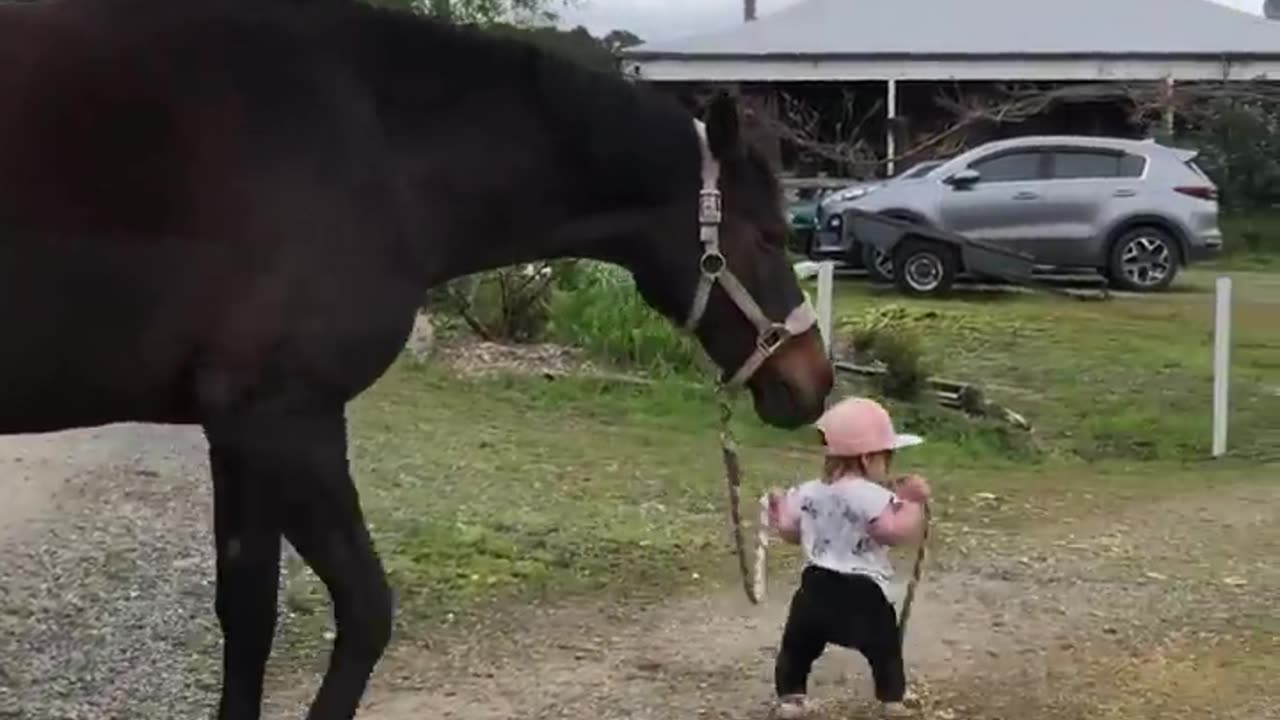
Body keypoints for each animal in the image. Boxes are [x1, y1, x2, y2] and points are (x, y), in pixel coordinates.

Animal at [0, 0, 834, 712]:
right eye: (770, 236)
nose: (813, 381)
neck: (372, 146)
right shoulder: (289, 420)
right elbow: (366, 610)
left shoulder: (236, 432)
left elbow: (248, 615)